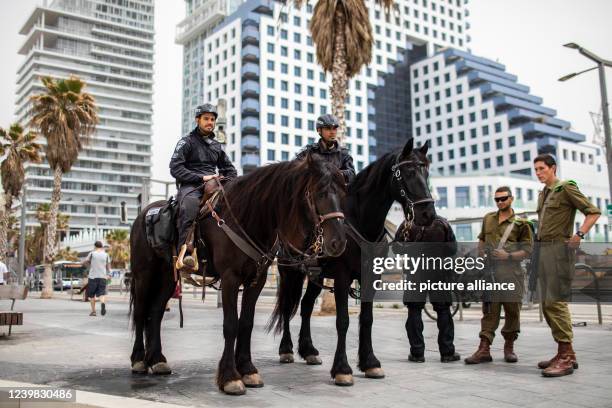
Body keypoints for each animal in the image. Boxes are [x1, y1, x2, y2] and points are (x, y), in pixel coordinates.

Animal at [130, 155, 346, 396]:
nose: (338, 242)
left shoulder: (257, 281)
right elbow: (231, 324)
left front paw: (248, 370)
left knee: (156, 312)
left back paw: (157, 359)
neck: (247, 218)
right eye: (320, 192)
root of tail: (144, 214)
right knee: (141, 312)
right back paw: (139, 359)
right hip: (144, 275)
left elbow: (246, 323)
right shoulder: (230, 279)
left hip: (168, 277)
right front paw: (230, 377)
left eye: (343, 192)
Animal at [268, 138, 436, 386]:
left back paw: (308, 350)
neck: (361, 221)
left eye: (426, 171)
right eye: (407, 172)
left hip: (316, 277)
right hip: (291, 273)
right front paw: (342, 368)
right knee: (289, 306)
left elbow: (367, 319)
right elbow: (343, 321)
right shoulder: (342, 277)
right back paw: (287, 349)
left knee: (306, 307)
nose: (428, 214)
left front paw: (370, 362)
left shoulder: (370, 278)